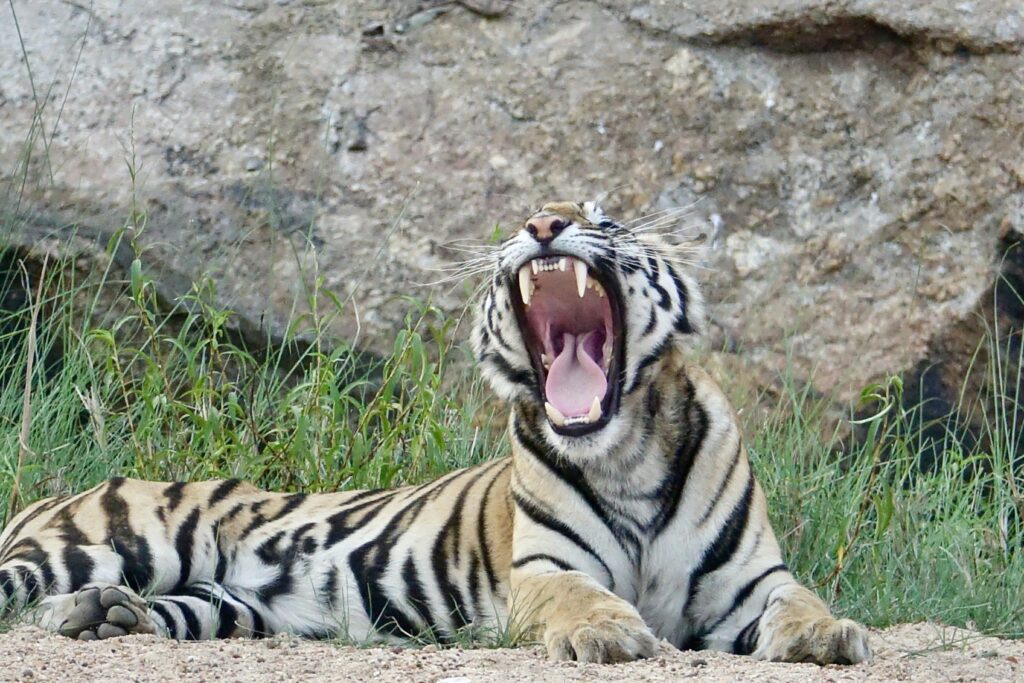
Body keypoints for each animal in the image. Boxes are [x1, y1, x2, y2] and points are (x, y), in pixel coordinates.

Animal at [0, 200, 872, 663]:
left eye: (606, 218)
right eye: (534, 214)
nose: (545, 222)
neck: (624, 450)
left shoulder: (752, 580)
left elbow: (803, 600)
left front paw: (832, 633)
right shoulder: (544, 569)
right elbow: (580, 595)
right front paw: (609, 632)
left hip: (229, 601)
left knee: (173, 609)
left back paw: (105, 615)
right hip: (103, 541)